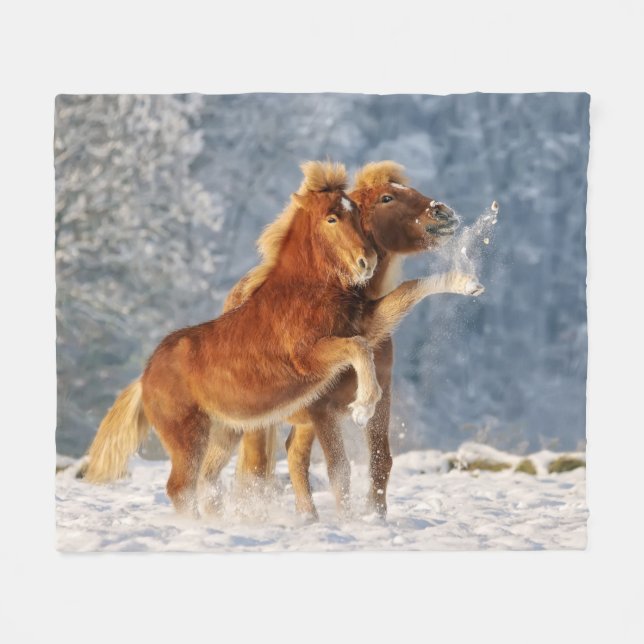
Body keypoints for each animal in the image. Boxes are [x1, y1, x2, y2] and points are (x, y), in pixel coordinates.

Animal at [83, 161, 384, 516]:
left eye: (357, 213)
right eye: (332, 218)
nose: (368, 262)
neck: (302, 294)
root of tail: (144, 378)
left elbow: (366, 341)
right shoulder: (309, 357)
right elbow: (358, 347)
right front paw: (364, 406)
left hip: (224, 433)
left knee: (205, 481)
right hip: (188, 436)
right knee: (180, 487)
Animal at [228, 161, 484, 519]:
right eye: (387, 198)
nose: (443, 212)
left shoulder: (381, 398)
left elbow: (380, 462)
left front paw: (376, 516)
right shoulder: (322, 408)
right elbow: (339, 469)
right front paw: (349, 521)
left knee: (294, 457)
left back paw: (309, 519)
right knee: (255, 468)